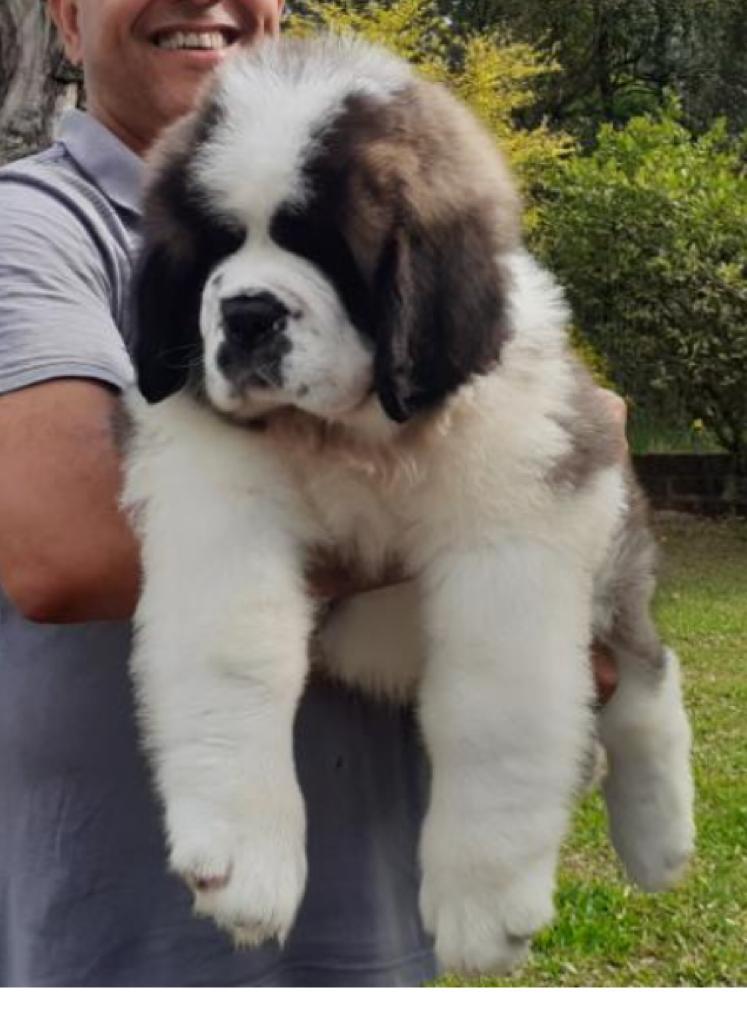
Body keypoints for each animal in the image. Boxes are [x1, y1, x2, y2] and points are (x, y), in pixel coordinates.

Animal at [123, 34, 695, 975]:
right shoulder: (215, 499)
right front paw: (244, 855)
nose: (245, 313)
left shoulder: (520, 522)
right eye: (214, 247)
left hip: (609, 524)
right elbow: (236, 655)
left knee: (642, 668)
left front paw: (485, 899)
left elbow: (493, 706)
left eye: (329, 250)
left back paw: (658, 836)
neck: (353, 437)